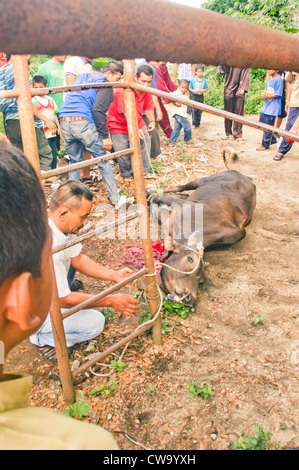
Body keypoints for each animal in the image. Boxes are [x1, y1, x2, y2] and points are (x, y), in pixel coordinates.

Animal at [146, 171, 256, 306]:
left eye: (201, 280)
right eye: (190, 259)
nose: (190, 297)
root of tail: (244, 177)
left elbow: (156, 209)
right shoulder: (179, 206)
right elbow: (157, 199)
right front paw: (151, 193)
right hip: (202, 180)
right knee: (180, 187)